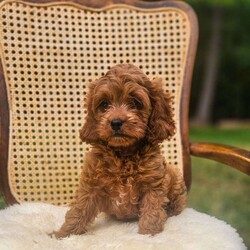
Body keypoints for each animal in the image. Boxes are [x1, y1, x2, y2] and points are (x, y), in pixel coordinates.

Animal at [53, 63, 187, 237]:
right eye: (104, 104)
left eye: (135, 102)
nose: (116, 122)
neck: (123, 153)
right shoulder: (90, 184)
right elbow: (78, 211)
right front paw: (62, 235)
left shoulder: (153, 185)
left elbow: (151, 214)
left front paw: (148, 234)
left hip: (175, 175)